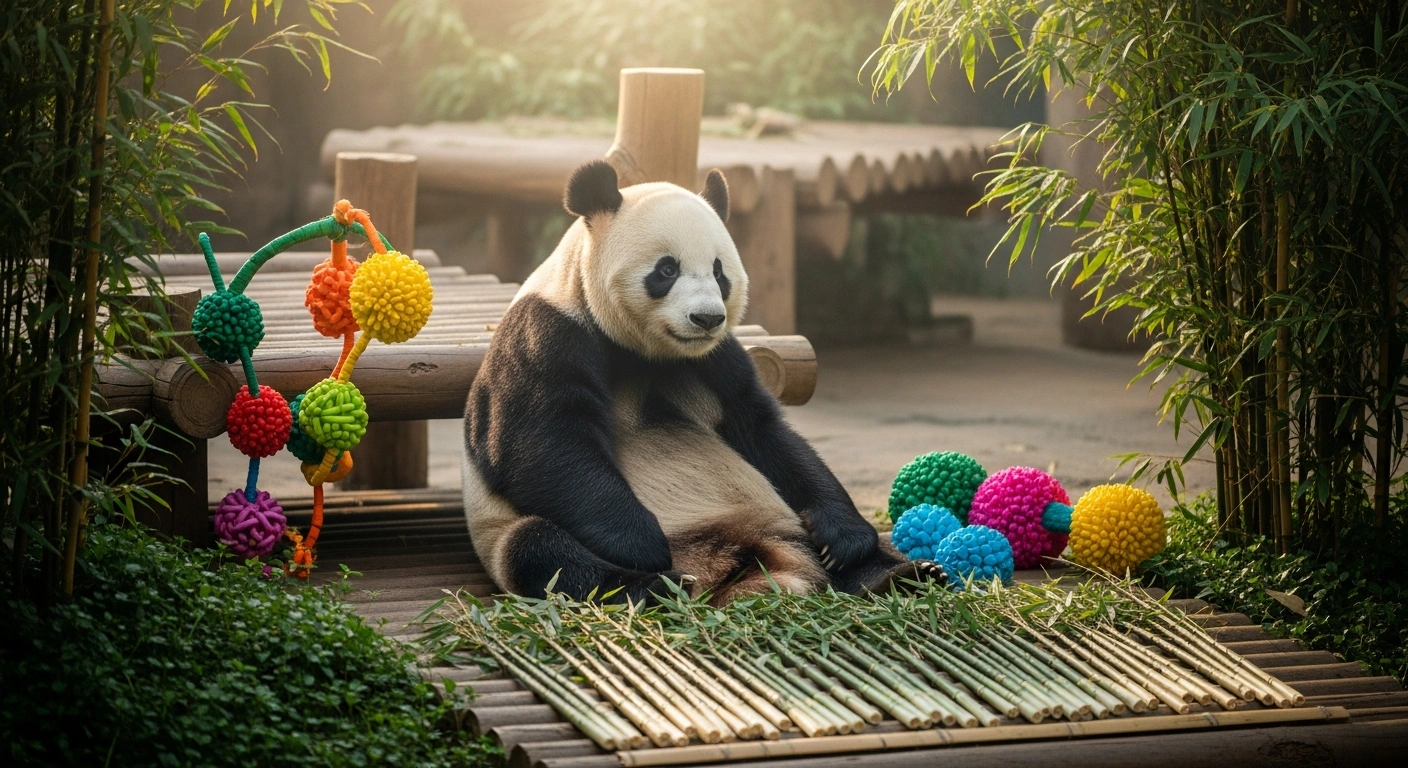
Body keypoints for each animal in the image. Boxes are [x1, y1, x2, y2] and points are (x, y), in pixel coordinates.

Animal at [461, 160, 945, 605]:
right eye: (666, 270)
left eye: (718, 271)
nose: (707, 318)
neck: (643, 351)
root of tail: (739, 568)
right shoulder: (549, 334)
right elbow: (539, 444)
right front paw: (642, 546)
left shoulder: (716, 358)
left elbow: (764, 430)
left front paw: (843, 538)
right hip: (503, 533)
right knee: (542, 550)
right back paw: (654, 585)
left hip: (779, 519)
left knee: (858, 552)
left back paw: (902, 574)